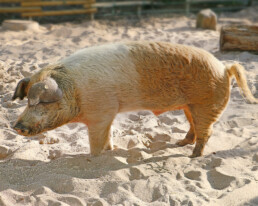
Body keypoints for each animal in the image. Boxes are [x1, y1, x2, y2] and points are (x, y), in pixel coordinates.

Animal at [12, 41, 258, 158]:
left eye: (42, 102)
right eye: (27, 102)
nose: (15, 126)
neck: (76, 92)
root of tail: (224, 67)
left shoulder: (100, 113)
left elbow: (96, 141)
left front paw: (95, 156)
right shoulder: (108, 113)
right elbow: (108, 136)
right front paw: (110, 150)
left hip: (206, 103)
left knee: (207, 131)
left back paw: (192, 156)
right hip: (190, 105)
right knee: (194, 126)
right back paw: (180, 144)